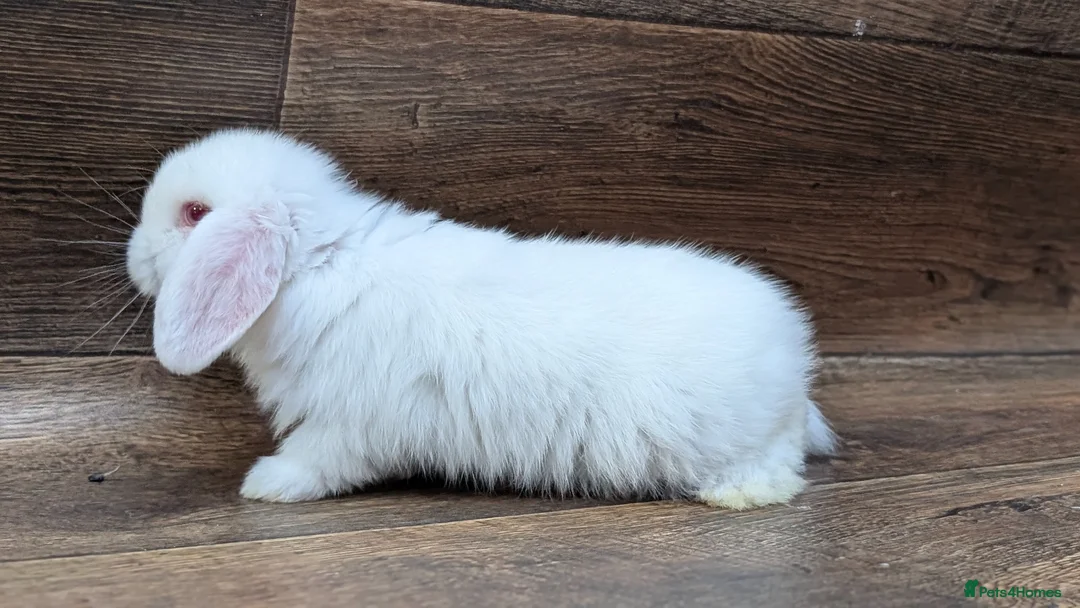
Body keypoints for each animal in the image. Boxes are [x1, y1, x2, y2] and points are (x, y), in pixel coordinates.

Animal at [126, 128, 837, 509]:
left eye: (194, 213)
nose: (134, 258)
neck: (319, 264)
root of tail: (794, 358)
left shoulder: (350, 421)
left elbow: (317, 459)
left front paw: (266, 484)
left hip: (743, 441)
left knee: (777, 470)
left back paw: (735, 496)